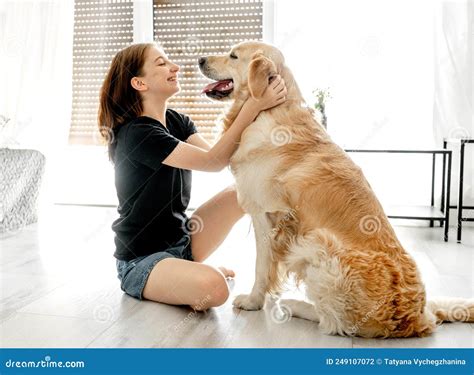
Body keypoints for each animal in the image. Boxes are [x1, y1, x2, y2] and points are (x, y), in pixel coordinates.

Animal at [198, 41, 472, 338]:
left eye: (233, 55)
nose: (200, 59)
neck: (268, 111)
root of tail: (415, 317)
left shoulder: (265, 214)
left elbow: (262, 266)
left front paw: (253, 301)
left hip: (316, 243)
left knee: (333, 323)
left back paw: (294, 305)